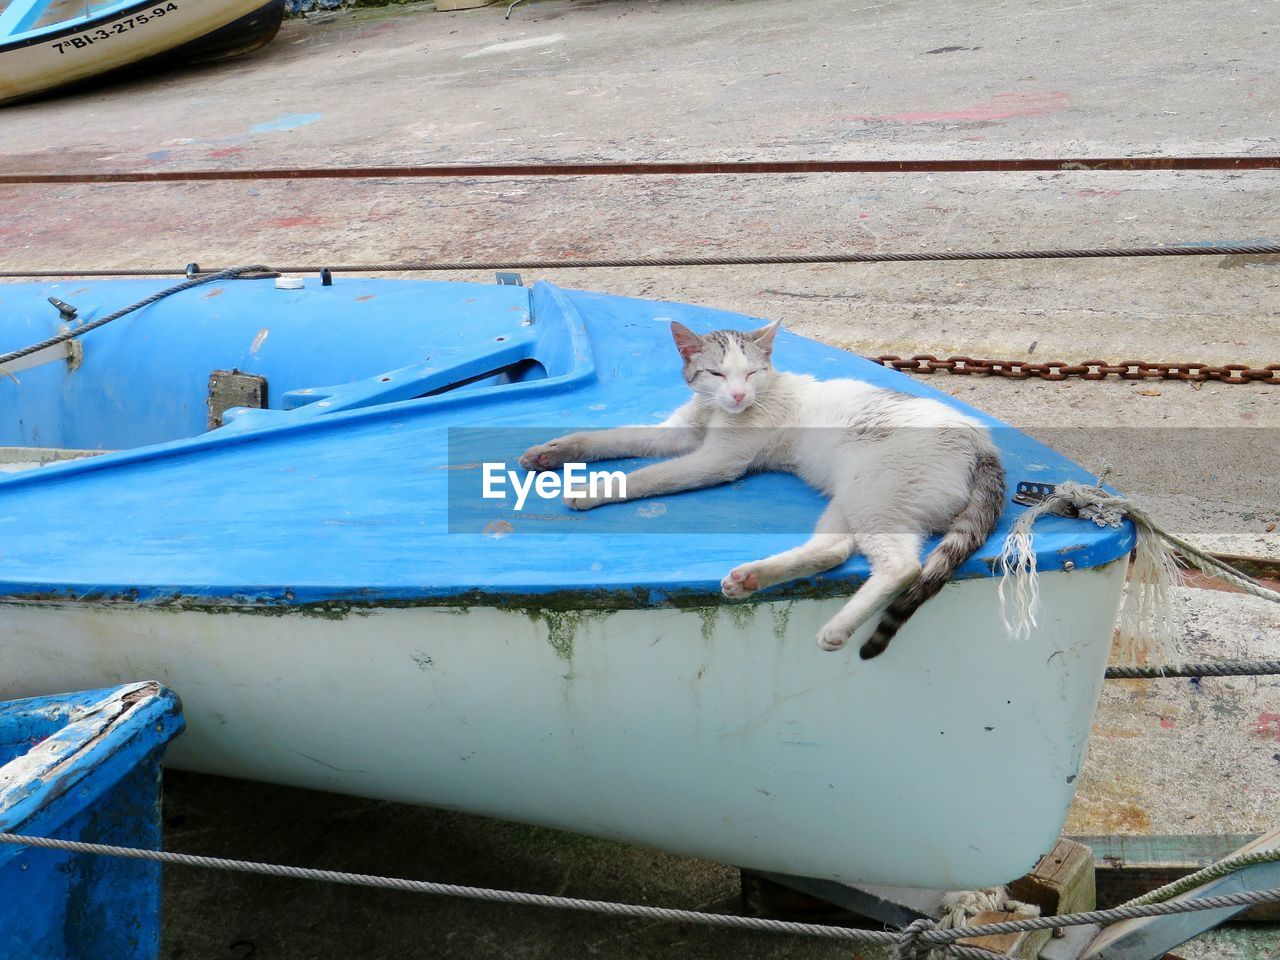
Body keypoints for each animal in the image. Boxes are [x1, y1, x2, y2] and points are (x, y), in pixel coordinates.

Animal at [522, 320, 1008, 660]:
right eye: (716, 374)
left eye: (753, 372)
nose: (738, 396)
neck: (716, 409)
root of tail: (984, 445)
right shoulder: (676, 434)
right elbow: (609, 437)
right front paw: (550, 452)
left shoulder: (716, 460)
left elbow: (648, 476)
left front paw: (590, 489)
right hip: (851, 495)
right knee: (834, 550)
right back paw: (751, 578)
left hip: (873, 495)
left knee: (903, 566)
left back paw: (835, 629)